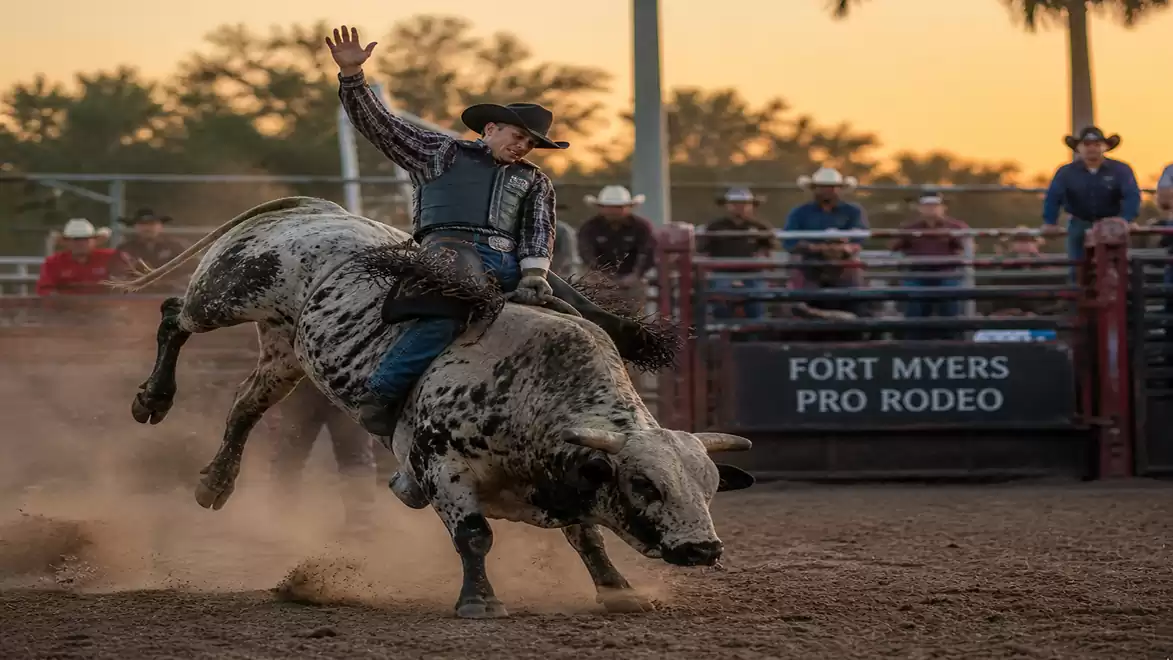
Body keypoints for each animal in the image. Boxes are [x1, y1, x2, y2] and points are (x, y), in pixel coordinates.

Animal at [112, 196, 755, 619]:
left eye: (709, 485)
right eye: (644, 483)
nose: (703, 548)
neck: (527, 387)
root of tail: (316, 207)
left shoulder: (561, 478)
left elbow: (588, 537)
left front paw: (619, 590)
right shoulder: (440, 465)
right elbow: (474, 535)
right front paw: (481, 602)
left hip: (286, 351)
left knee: (245, 407)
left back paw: (214, 484)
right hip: (231, 288)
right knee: (174, 315)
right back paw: (151, 400)